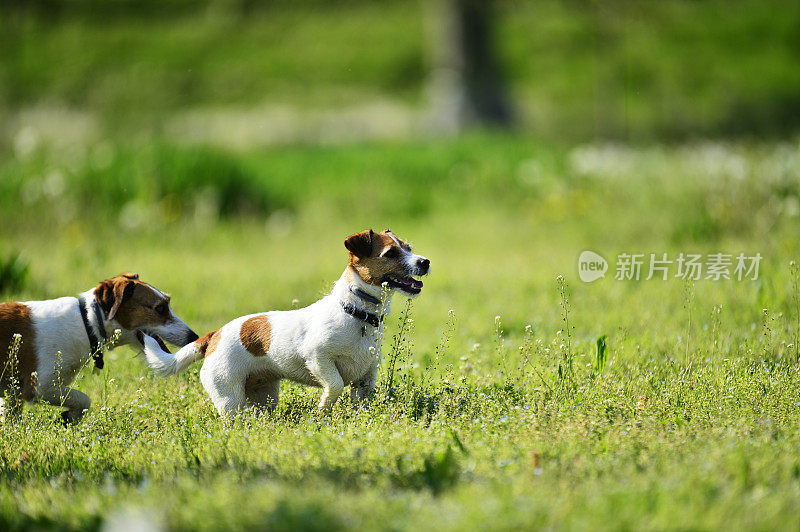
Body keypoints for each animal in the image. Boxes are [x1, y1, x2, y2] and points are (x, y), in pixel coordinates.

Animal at [0, 274, 198, 424]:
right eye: (160, 308)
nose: (194, 337)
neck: (87, 322)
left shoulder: (13, 395)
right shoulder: (40, 387)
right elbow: (85, 400)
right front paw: (70, 417)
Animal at [144, 231, 432, 418]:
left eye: (409, 247)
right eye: (391, 253)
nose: (425, 261)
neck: (357, 314)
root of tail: (214, 336)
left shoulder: (366, 377)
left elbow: (361, 401)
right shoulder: (317, 358)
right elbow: (335, 385)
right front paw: (323, 410)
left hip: (265, 397)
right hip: (229, 397)